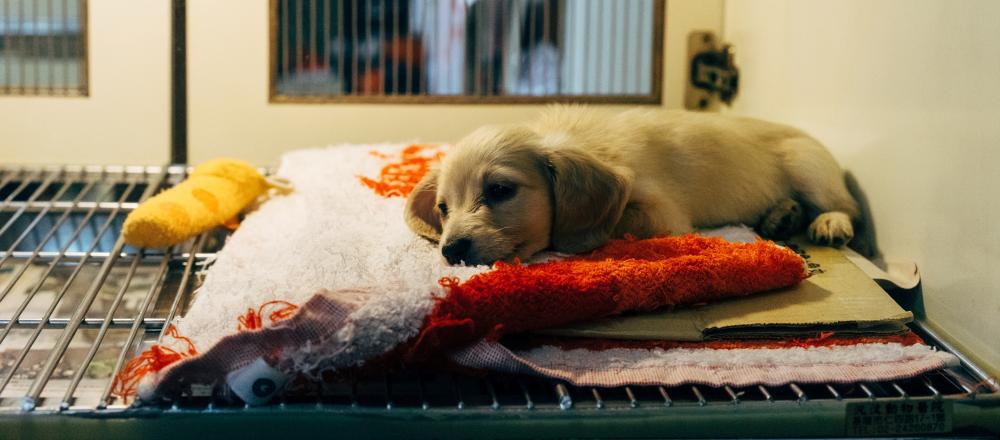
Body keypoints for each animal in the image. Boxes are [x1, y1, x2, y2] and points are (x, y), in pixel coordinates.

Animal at [406, 106, 860, 264]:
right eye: (443, 208)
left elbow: (613, 223)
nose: (451, 250)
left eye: (500, 190)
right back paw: (782, 215)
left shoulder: (664, 214)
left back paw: (829, 222)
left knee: (846, 207)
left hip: (808, 167)